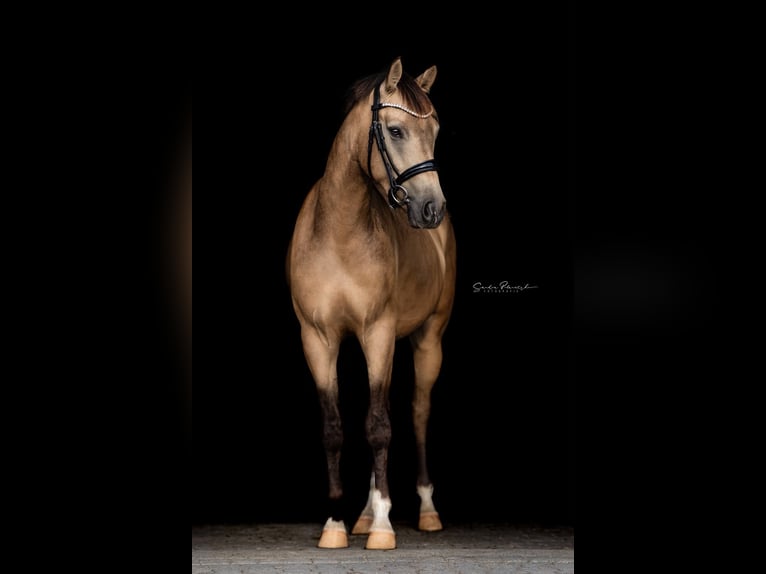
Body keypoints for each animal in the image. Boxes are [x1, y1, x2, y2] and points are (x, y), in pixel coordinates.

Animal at [286, 57, 456, 550]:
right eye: (395, 131)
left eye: (435, 130)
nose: (431, 209)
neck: (339, 232)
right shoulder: (318, 340)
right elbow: (335, 428)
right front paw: (335, 525)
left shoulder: (378, 333)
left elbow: (380, 426)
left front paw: (382, 525)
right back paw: (361, 515)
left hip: (428, 340)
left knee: (417, 415)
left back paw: (424, 511)